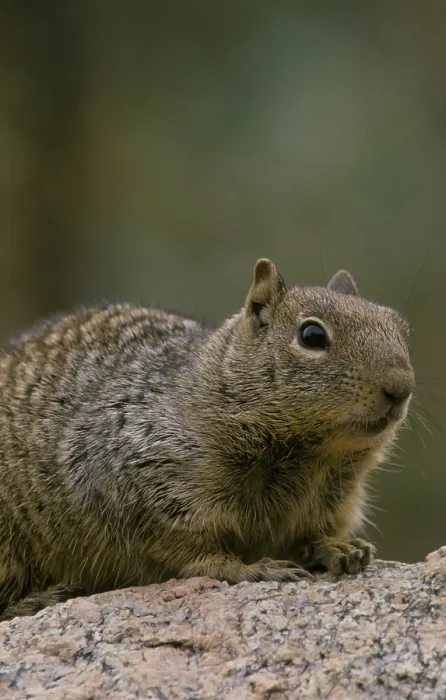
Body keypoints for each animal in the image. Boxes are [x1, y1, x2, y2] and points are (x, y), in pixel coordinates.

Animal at [0, 259, 414, 620]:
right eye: (312, 336)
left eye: (401, 328)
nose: (402, 388)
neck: (313, 453)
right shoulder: (153, 484)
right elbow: (194, 551)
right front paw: (253, 569)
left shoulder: (336, 493)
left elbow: (315, 532)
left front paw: (339, 547)